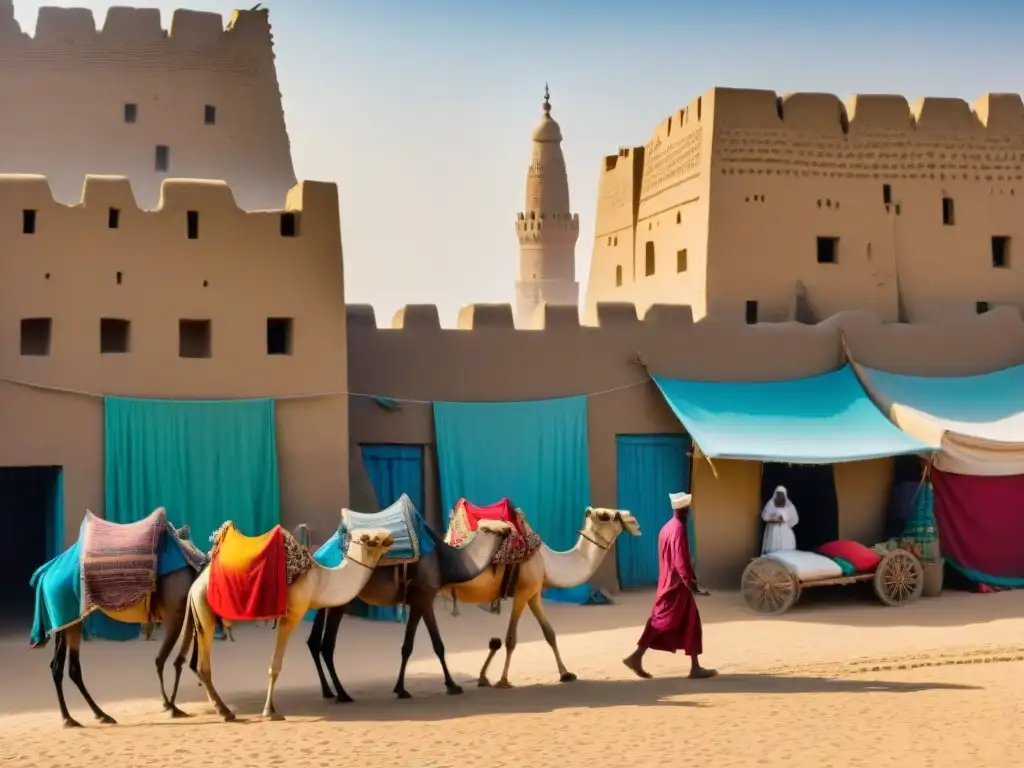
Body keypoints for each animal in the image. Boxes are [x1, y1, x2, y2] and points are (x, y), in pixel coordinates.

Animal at [30, 512, 205, 729]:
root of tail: (45, 572)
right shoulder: (176, 613)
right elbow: (165, 660)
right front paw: (170, 706)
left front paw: (174, 703)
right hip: (66, 612)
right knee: (62, 667)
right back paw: (74, 718)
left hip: (67, 620)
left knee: (65, 667)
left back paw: (92, 715)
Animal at [176, 528, 395, 720]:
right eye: (372, 539)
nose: (391, 537)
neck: (321, 580)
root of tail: (194, 587)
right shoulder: (293, 614)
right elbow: (275, 666)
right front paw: (269, 711)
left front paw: (270, 709)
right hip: (205, 613)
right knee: (203, 667)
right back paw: (224, 712)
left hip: (200, 616)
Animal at [301, 501, 512, 708]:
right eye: (502, 525)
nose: (511, 529)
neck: (445, 561)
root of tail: (317, 555)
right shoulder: (424, 598)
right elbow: (430, 645)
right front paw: (449, 686)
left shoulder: (419, 601)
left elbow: (416, 646)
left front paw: (404, 688)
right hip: (340, 601)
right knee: (327, 645)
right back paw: (343, 694)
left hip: (327, 598)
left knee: (314, 642)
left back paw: (328, 692)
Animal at [448, 507, 638, 688]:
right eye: (605, 515)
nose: (633, 520)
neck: (545, 561)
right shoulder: (523, 591)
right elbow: (511, 638)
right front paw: (503, 680)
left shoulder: (534, 594)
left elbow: (550, 633)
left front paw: (566, 674)